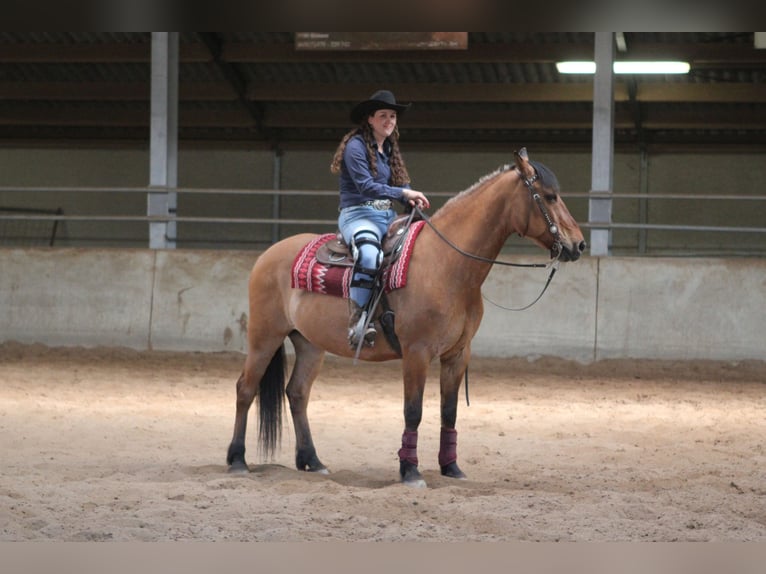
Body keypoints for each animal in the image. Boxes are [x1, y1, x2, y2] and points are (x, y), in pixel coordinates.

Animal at [228, 150, 588, 490]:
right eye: (549, 196)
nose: (579, 244)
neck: (447, 264)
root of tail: (268, 255)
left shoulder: (458, 354)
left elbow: (449, 412)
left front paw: (451, 468)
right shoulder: (417, 353)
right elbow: (413, 411)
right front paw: (410, 471)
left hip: (309, 344)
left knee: (298, 393)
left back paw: (313, 461)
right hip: (265, 336)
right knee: (246, 388)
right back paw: (237, 461)